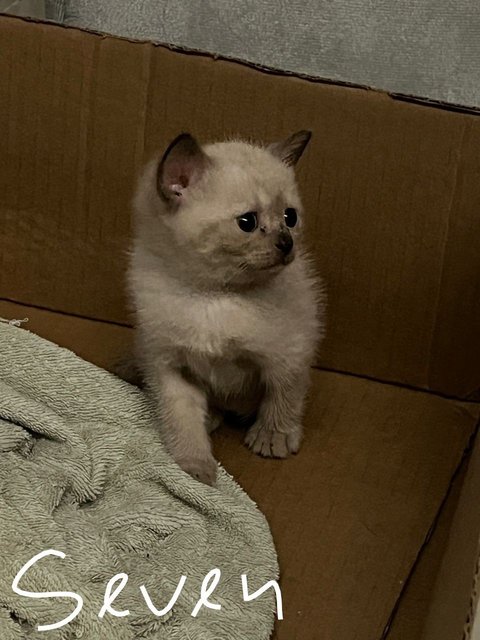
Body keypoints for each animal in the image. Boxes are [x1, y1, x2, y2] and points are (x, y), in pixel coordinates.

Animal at [125, 131, 324, 484]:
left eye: (290, 217)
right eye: (248, 222)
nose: (287, 243)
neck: (210, 297)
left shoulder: (289, 353)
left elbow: (283, 396)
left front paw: (272, 439)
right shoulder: (168, 365)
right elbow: (180, 416)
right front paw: (194, 467)